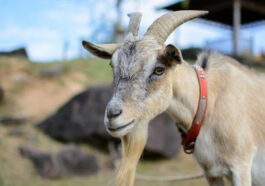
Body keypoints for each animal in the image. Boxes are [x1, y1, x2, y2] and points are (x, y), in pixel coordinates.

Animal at [81, 10, 264, 185]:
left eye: (159, 69)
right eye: (112, 66)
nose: (112, 115)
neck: (208, 103)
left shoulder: (241, 167)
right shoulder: (211, 173)